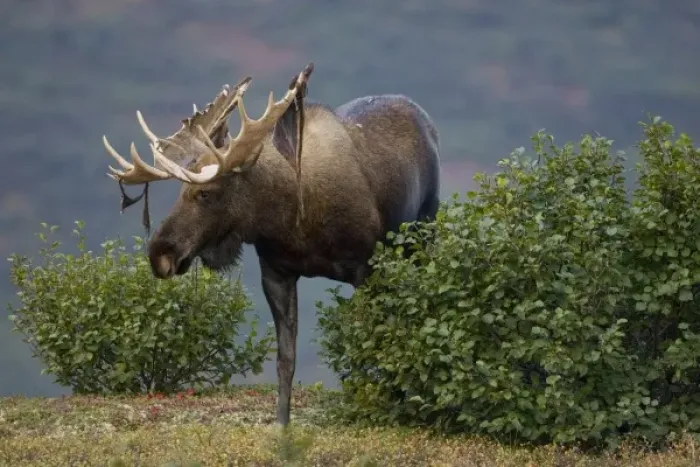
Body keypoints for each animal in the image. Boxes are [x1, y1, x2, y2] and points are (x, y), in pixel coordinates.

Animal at [101, 62, 441, 426]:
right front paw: (281, 422)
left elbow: (367, 343)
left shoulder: (363, 268)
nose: (160, 254)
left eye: (205, 192)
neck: (291, 216)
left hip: (424, 232)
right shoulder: (276, 273)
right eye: (181, 191)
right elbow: (285, 359)